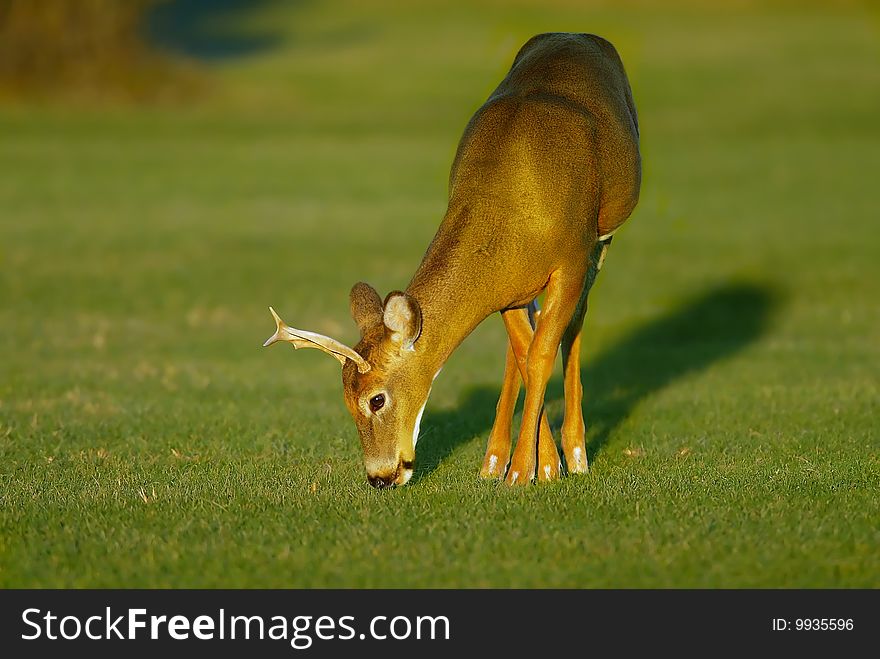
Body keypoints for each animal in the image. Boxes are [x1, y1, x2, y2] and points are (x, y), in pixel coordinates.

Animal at [262, 34, 640, 490]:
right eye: (345, 400)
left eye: (376, 399)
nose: (381, 476)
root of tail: (577, 34)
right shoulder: (507, 288)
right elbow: (525, 353)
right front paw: (530, 465)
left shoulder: (571, 258)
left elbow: (543, 352)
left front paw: (533, 472)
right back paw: (494, 460)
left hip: (603, 236)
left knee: (576, 324)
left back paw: (576, 453)